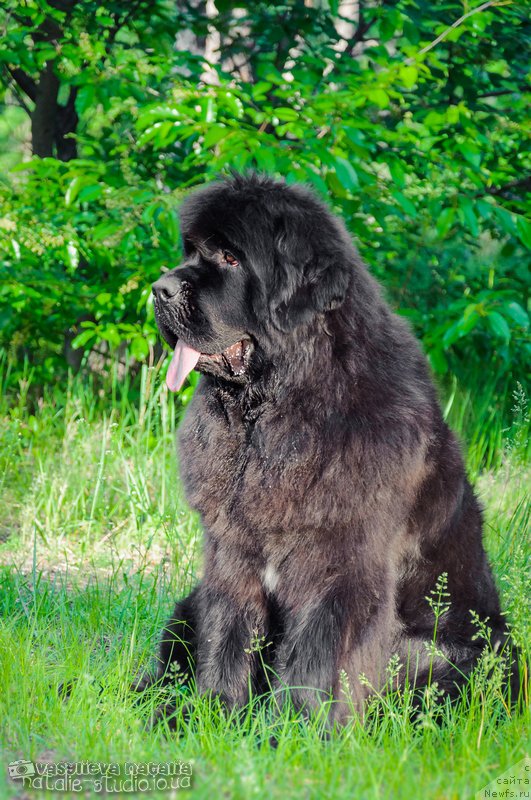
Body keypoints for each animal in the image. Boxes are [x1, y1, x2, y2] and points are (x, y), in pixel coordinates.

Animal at [143, 173, 516, 724]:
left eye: (231, 258)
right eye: (190, 251)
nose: (160, 288)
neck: (275, 414)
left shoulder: (340, 565)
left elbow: (316, 660)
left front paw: (291, 733)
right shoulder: (232, 558)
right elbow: (226, 639)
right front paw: (210, 717)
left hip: (460, 650)